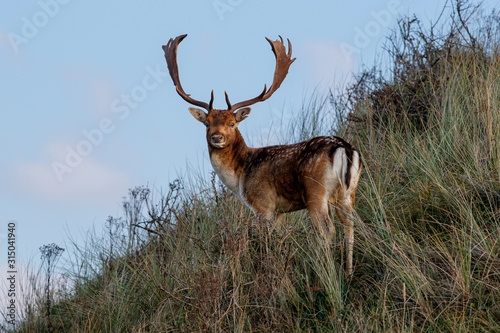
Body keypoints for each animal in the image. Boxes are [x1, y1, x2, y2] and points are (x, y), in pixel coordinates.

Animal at [162, 34, 362, 274]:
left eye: (232, 123)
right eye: (207, 123)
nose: (217, 137)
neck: (241, 175)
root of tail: (345, 148)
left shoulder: (263, 204)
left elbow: (264, 242)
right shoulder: (280, 211)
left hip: (315, 191)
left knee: (327, 229)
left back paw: (327, 272)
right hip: (348, 191)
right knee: (350, 225)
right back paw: (349, 272)